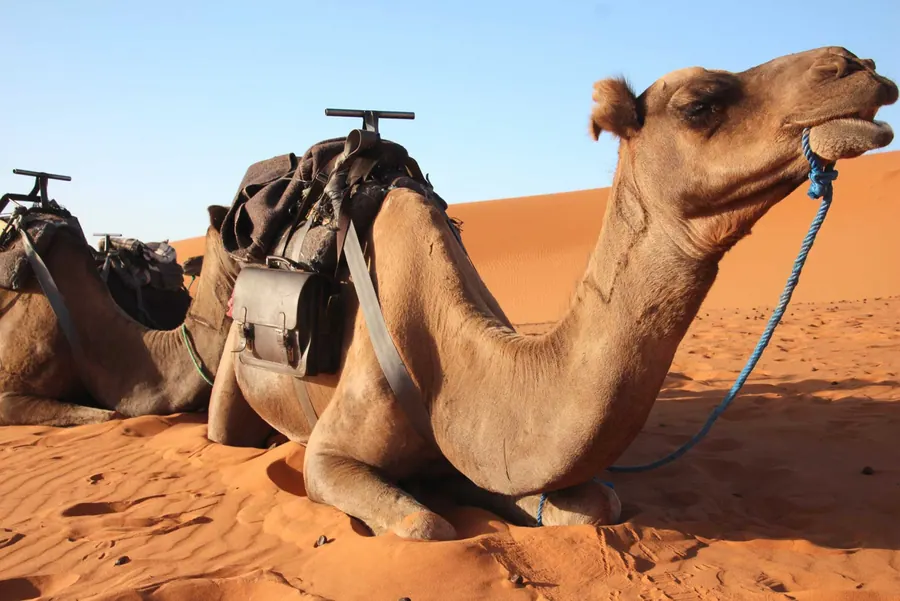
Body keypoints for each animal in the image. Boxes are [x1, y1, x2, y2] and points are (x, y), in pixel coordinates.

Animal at [207, 46, 897, 540]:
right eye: (699, 105)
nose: (855, 66)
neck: (459, 364)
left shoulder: (482, 452)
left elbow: (595, 506)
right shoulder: (331, 456)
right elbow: (425, 524)